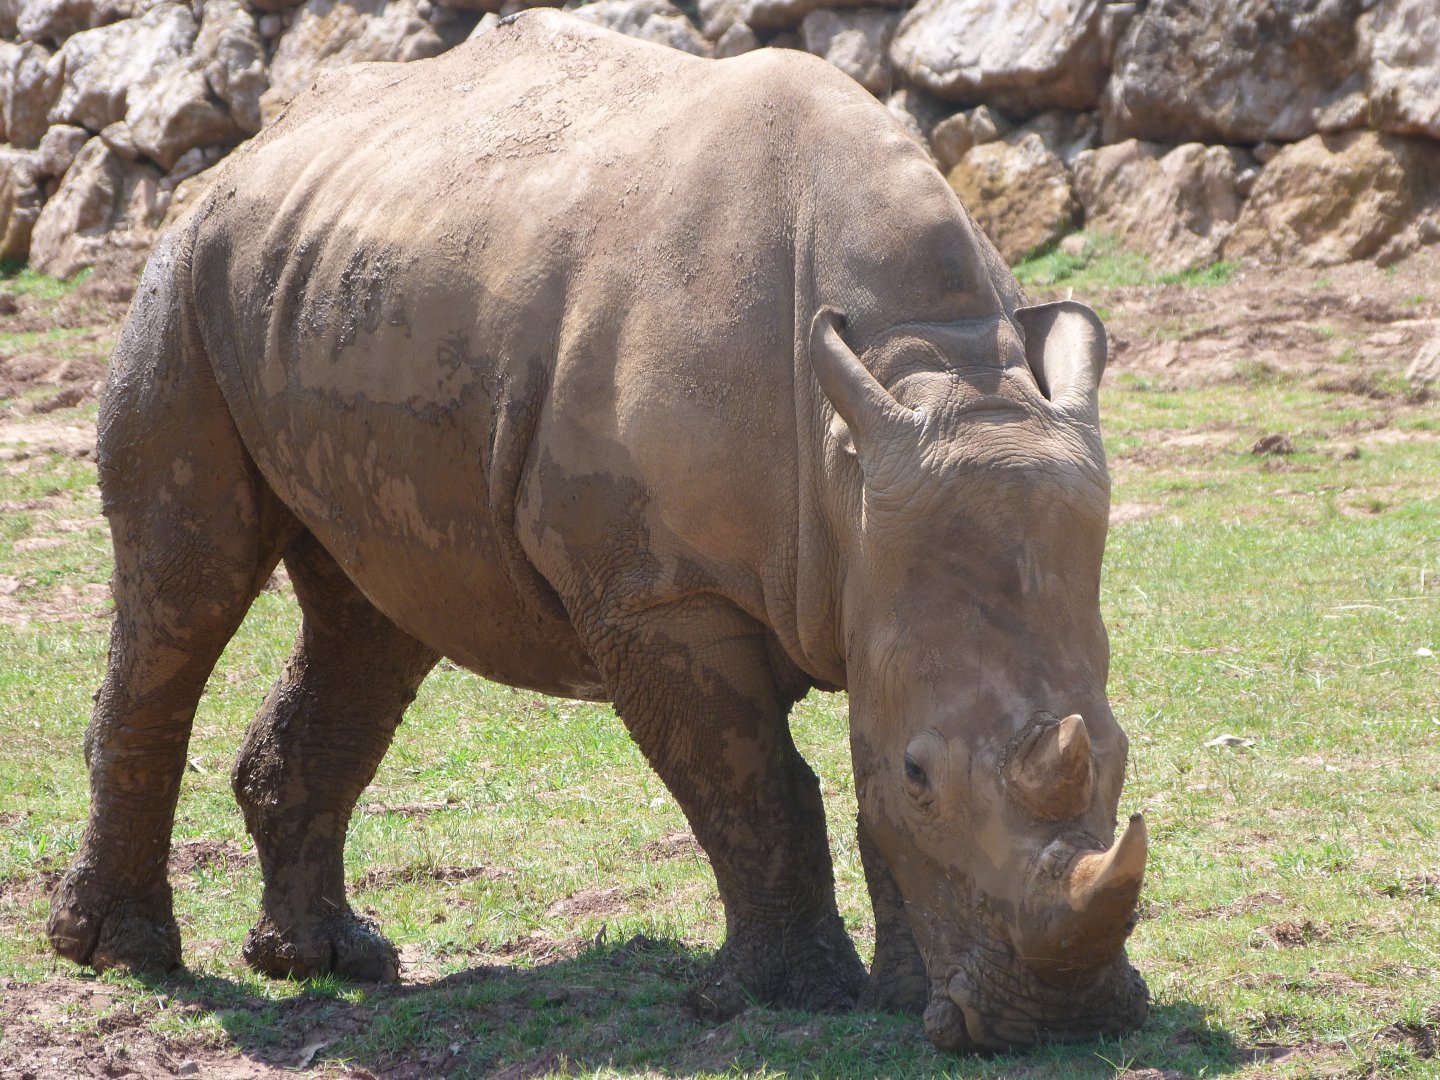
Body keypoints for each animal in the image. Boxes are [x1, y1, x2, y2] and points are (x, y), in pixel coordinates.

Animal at [47, 11, 1149, 1051]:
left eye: (1122, 751)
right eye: (925, 776)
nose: (1059, 1021)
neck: (930, 378)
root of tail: (260, 144)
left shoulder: (882, 555)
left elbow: (852, 766)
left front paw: (901, 1001)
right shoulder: (657, 594)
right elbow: (752, 781)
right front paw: (786, 999)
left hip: (333, 287)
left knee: (374, 618)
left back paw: (329, 962)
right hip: (188, 266)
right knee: (186, 587)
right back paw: (122, 957)